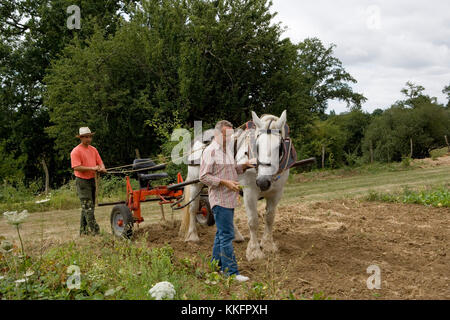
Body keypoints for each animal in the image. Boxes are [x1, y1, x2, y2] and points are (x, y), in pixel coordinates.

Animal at [182, 111, 288, 262]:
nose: (262, 182)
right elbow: (253, 221)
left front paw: (268, 245)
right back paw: (192, 236)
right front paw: (254, 251)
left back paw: (236, 236)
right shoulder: (249, 193)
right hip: (195, 182)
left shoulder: (276, 193)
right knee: (193, 208)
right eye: (257, 146)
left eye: (279, 147)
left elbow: (270, 218)